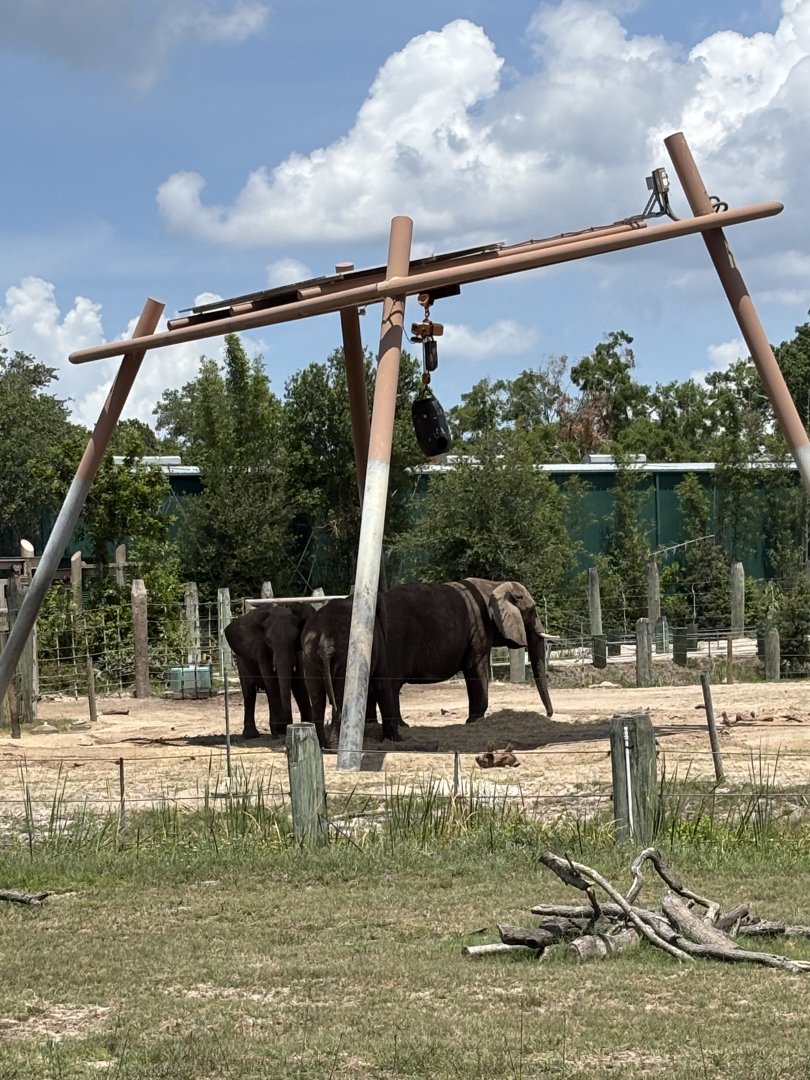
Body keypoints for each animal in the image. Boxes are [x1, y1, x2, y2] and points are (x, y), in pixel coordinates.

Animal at [223, 601, 316, 739]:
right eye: (268, 641)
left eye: (295, 639)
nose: (288, 725)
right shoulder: (261, 649)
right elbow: (272, 682)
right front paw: (281, 731)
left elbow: (299, 684)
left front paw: (307, 724)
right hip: (240, 660)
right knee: (250, 691)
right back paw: (252, 735)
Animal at [301, 578, 553, 744]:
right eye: (532, 611)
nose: (550, 715)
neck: (495, 584)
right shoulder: (480, 630)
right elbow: (476, 667)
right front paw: (474, 721)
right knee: (387, 685)